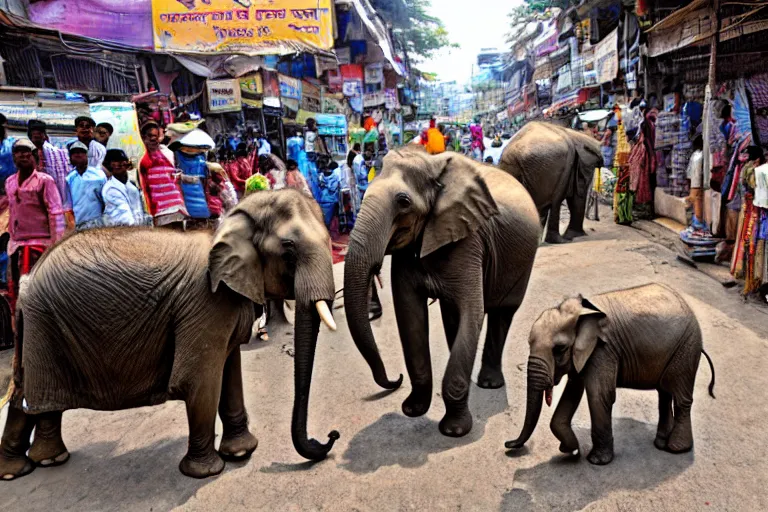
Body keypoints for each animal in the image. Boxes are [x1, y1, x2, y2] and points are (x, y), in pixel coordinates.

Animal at [0, 188, 340, 480]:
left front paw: (241, 452)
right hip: (45, 326)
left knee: (21, 391)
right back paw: (48, 460)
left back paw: (19, 469)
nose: (330, 436)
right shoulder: (207, 303)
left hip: (38, 327)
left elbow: (230, 372)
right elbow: (200, 380)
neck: (231, 222)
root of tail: (27, 281)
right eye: (289, 249)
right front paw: (207, 472)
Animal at [344, 147, 540, 436]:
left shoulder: (469, 241)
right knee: (453, 316)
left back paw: (489, 384)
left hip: (522, 262)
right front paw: (413, 410)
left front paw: (455, 431)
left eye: (403, 201)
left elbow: (473, 311)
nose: (395, 379)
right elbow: (409, 314)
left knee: (502, 312)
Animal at [508, 282, 716, 466]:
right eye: (529, 343)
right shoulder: (585, 354)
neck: (582, 313)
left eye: (559, 349)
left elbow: (599, 396)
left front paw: (596, 461)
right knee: (664, 395)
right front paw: (571, 450)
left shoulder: (603, 350)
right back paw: (660, 444)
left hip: (686, 349)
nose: (508, 444)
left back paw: (676, 448)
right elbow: (574, 389)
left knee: (680, 397)